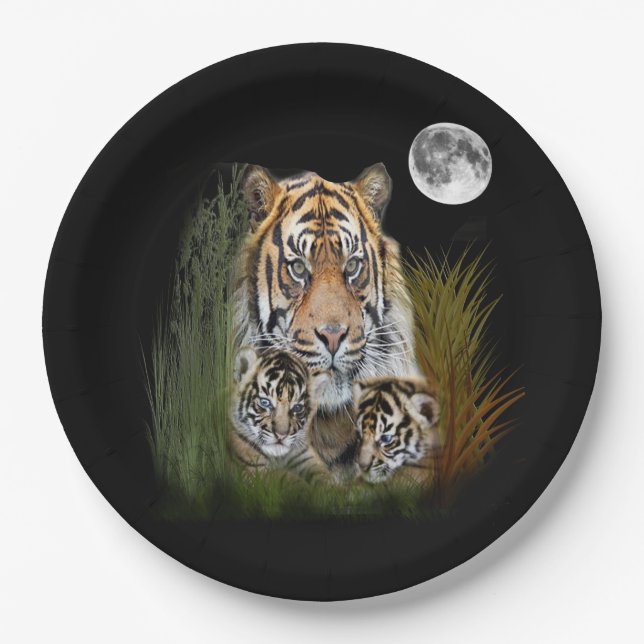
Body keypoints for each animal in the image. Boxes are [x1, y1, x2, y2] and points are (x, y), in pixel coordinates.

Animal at [229, 346, 331, 479]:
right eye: (265, 402)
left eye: (297, 408)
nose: (281, 435)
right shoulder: (256, 468)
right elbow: (289, 479)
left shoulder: (304, 453)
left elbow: (323, 475)